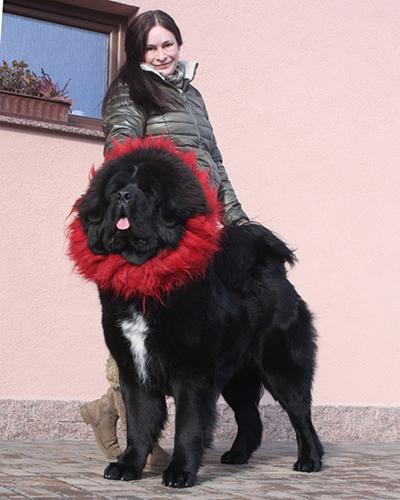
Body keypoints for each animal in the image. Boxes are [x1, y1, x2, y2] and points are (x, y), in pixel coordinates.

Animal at [69, 137, 324, 488]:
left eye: (147, 192)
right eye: (115, 191)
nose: (124, 196)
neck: (145, 275)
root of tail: (271, 267)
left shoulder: (192, 373)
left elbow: (187, 428)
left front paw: (180, 472)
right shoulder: (133, 370)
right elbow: (138, 423)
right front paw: (128, 466)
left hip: (280, 367)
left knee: (301, 415)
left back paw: (309, 460)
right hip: (236, 378)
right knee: (251, 418)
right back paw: (237, 456)